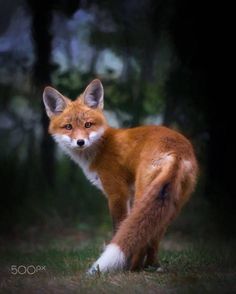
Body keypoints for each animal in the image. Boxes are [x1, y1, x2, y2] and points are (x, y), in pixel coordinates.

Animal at [43, 78, 198, 274]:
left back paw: (132, 268)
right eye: (68, 127)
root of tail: (176, 151)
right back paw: (151, 266)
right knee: (154, 236)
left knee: (143, 234)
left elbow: (119, 229)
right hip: (171, 204)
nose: (80, 142)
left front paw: (119, 263)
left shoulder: (117, 193)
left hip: (143, 195)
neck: (100, 148)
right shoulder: (128, 195)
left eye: (88, 124)